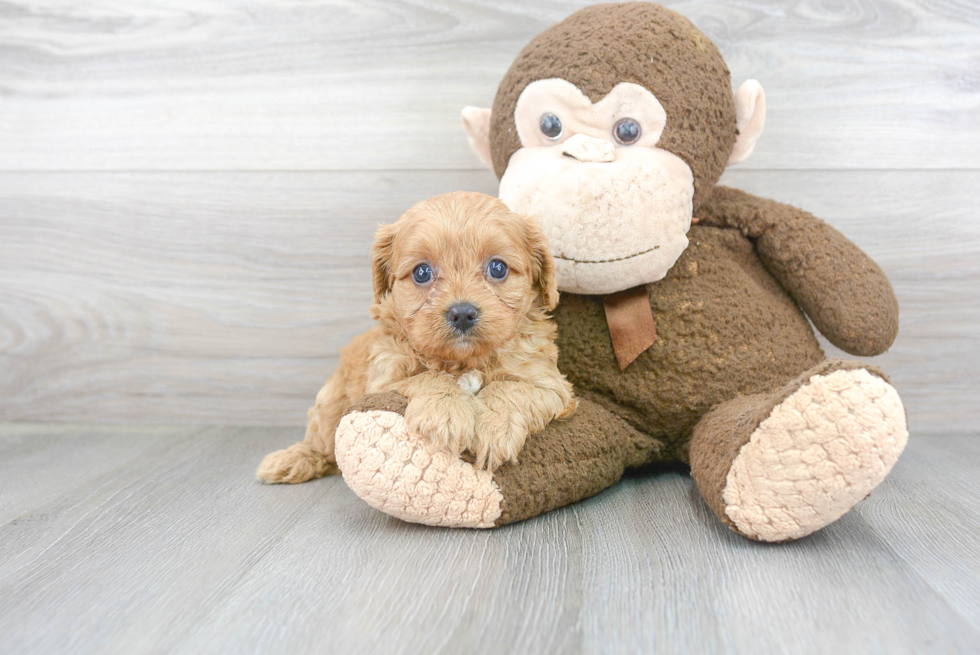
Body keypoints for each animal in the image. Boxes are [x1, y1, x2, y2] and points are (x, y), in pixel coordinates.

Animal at [256, 192, 580, 484]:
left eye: (498, 268)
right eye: (422, 272)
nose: (462, 313)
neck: (464, 361)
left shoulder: (549, 383)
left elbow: (511, 388)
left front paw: (493, 427)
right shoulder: (384, 378)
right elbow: (426, 378)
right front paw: (446, 414)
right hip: (331, 402)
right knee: (321, 443)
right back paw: (290, 460)